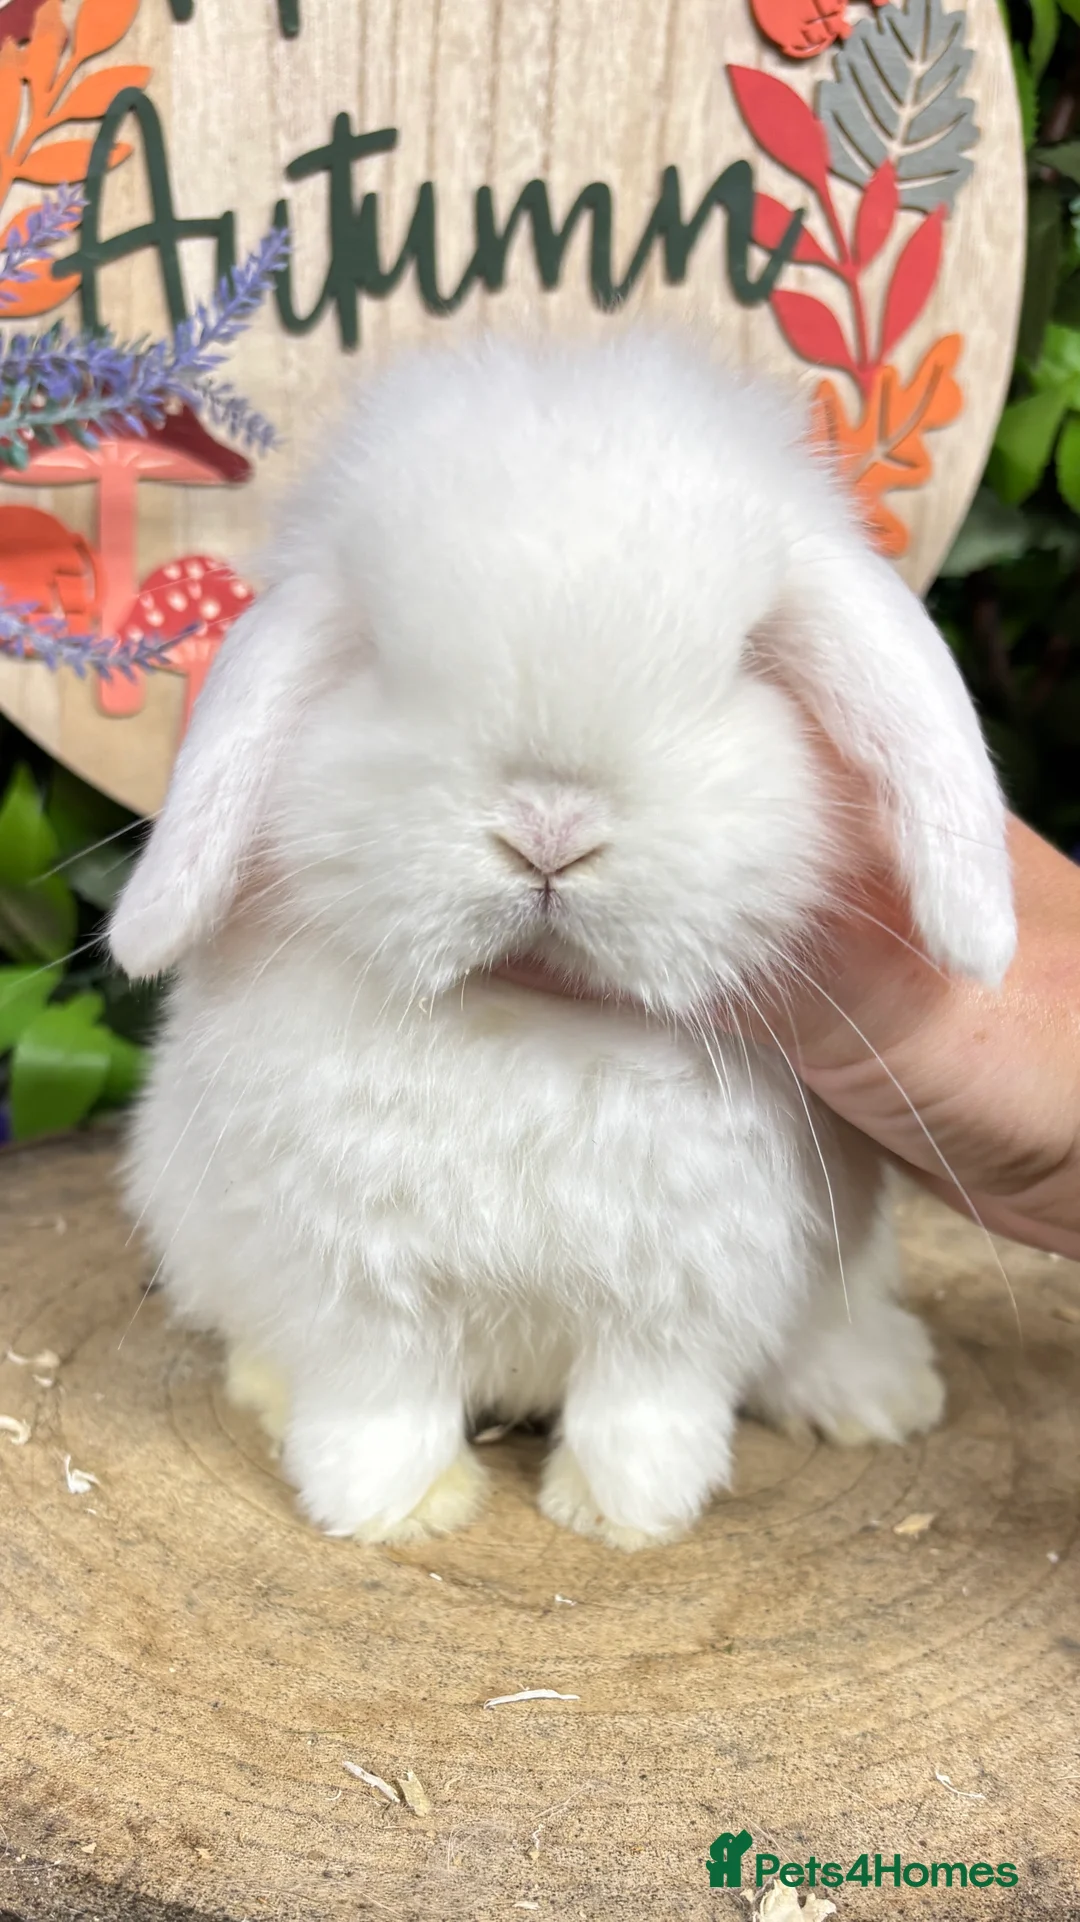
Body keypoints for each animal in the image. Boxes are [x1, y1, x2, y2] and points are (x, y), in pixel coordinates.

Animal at [109, 331, 1015, 1550]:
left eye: (748, 659)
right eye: (380, 657)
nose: (549, 828)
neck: (531, 1022)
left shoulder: (686, 1291)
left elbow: (645, 1409)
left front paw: (624, 1516)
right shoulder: (353, 1279)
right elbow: (379, 1401)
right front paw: (396, 1512)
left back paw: (879, 1396)